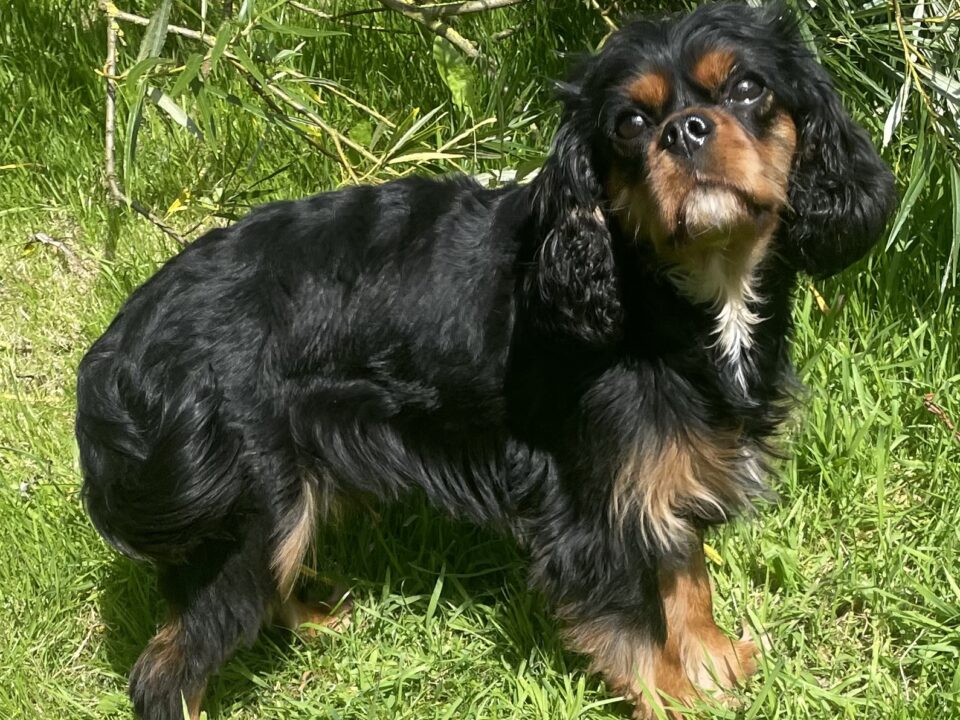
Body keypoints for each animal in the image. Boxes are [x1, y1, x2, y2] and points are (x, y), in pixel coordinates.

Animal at [75, 2, 892, 716]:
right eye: (629, 123)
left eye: (749, 88)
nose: (686, 130)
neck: (669, 289)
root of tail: (123, 340)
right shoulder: (592, 510)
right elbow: (637, 630)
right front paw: (681, 697)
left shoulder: (663, 476)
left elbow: (687, 581)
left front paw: (715, 664)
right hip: (254, 511)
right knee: (167, 670)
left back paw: (319, 620)